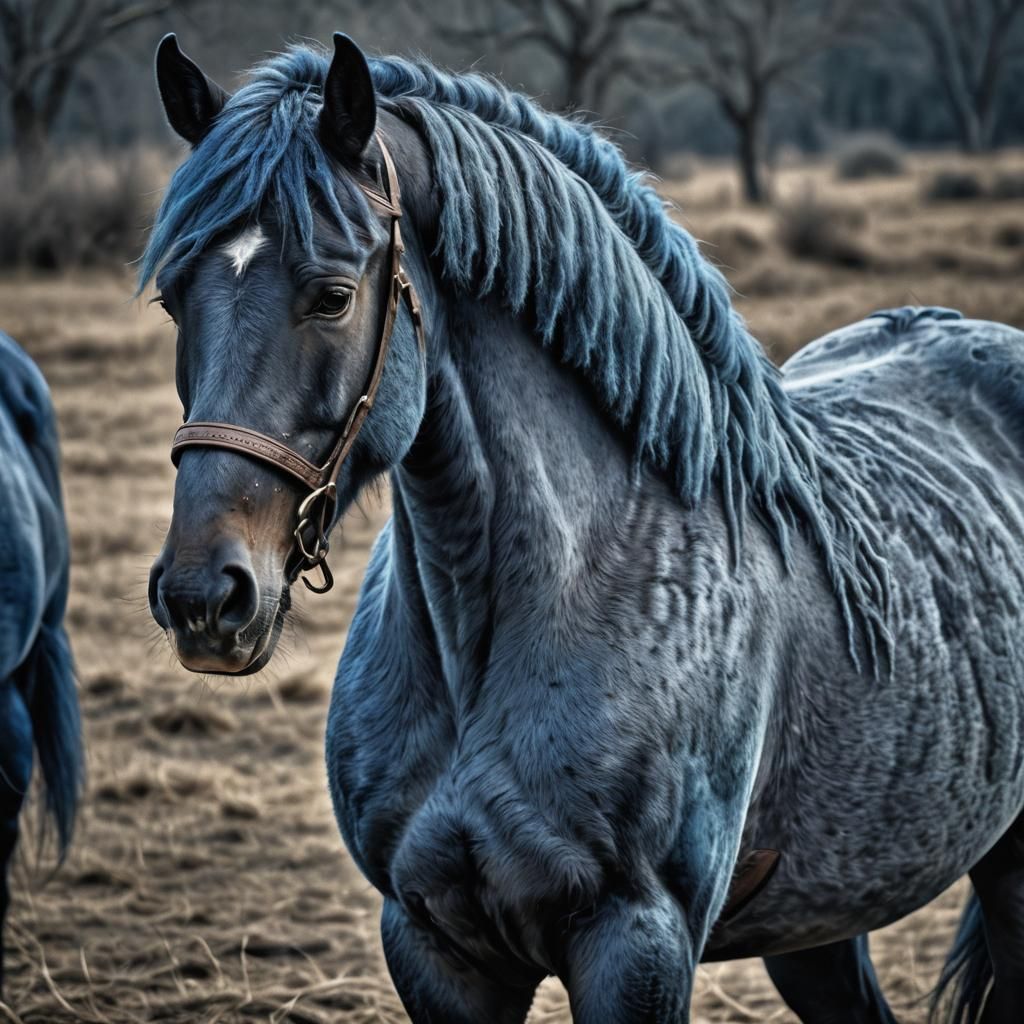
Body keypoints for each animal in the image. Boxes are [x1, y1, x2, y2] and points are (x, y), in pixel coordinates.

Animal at [144, 32, 1024, 1023]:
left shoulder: (636, 942)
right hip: (821, 924)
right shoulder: (433, 947)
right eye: (174, 297)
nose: (204, 596)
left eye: (332, 295)